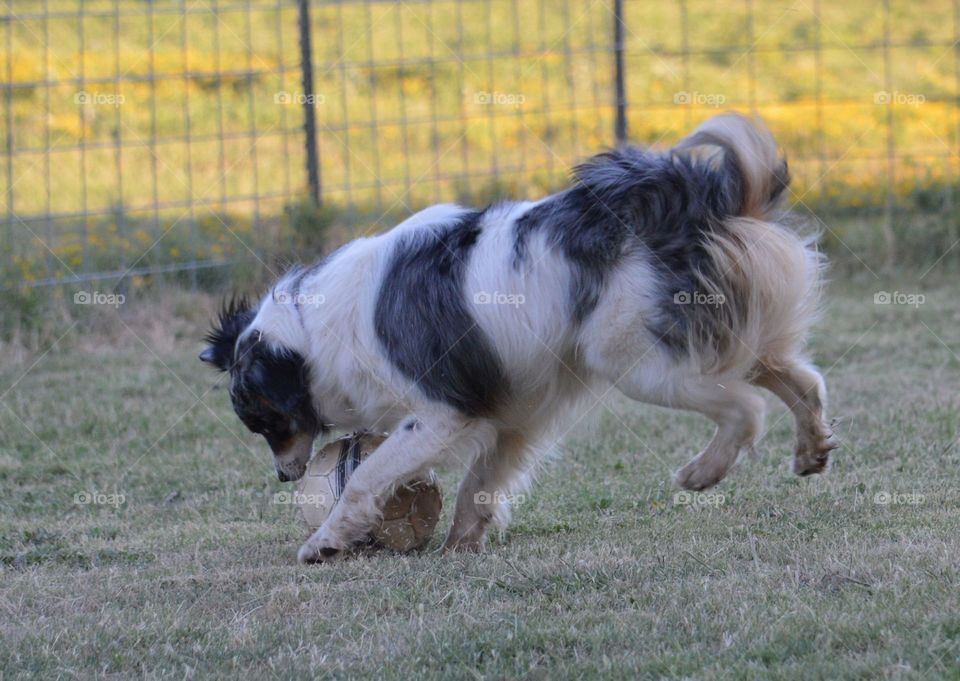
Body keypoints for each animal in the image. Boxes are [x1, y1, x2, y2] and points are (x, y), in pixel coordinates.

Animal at [199, 113, 836, 564]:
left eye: (264, 422)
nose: (285, 478)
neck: (310, 331)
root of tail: (697, 197)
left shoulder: (440, 415)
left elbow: (365, 478)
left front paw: (324, 542)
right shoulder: (512, 417)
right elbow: (479, 484)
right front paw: (460, 545)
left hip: (637, 360)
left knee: (746, 408)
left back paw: (702, 473)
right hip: (726, 335)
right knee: (803, 379)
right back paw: (812, 449)